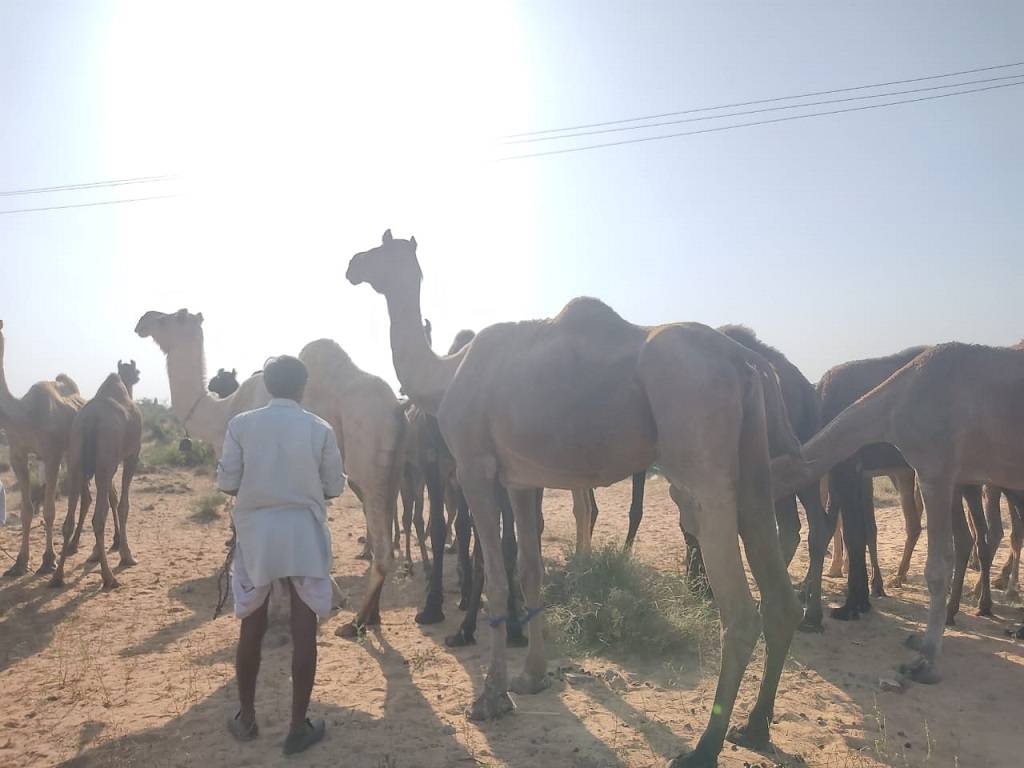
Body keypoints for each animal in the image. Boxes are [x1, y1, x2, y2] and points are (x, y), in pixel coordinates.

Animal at [0, 319, 84, 577]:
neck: (23, 415)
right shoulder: (17, 455)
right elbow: (27, 510)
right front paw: (19, 563)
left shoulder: (52, 454)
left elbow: (48, 510)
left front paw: (48, 561)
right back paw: (73, 544)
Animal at [51, 364, 144, 593]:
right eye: (135, 372)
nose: (137, 376)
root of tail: (91, 421)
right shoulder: (131, 455)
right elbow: (123, 504)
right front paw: (127, 555)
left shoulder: (107, 465)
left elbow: (112, 497)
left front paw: (97, 551)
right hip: (105, 459)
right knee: (98, 518)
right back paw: (109, 577)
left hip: (76, 461)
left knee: (70, 519)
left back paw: (57, 576)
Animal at [134, 307, 405, 638]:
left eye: (170, 317)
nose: (143, 320)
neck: (221, 412)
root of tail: (396, 407)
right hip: (390, 468)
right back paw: (371, 615)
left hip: (367, 455)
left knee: (383, 547)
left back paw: (355, 622)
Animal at [352, 231, 806, 765]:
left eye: (377, 251)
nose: (351, 266)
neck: (446, 378)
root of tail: (748, 362)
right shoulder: (521, 480)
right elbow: (529, 570)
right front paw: (530, 676)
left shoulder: (474, 468)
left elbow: (498, 577)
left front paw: (490, 698)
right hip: (754, 465)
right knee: (779, 597)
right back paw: (753, 728)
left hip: (701, 452)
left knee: (739, 609)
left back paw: (703, 747)